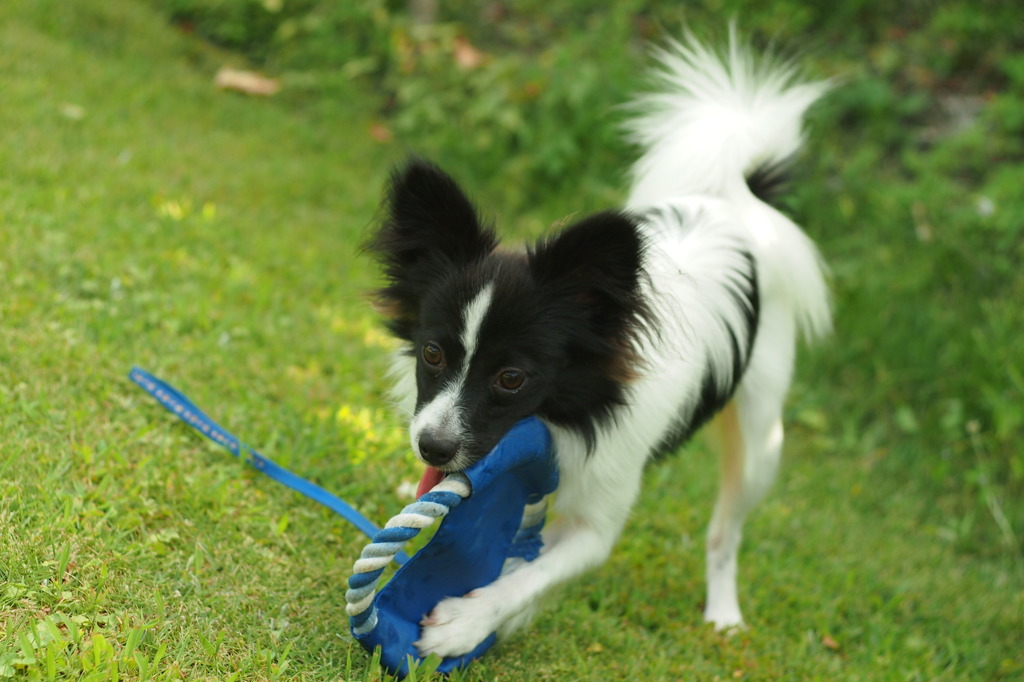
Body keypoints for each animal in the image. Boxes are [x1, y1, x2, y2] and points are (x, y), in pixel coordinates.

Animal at [368, 29, 831, 655]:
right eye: (432, 354)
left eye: (512, 378)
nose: (432, 449)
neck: (570, 414)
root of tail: (738, 202)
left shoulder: (597, 518)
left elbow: (530, 576)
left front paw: (466, 623)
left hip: (763, 442)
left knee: (726, 532)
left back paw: (724, 613)